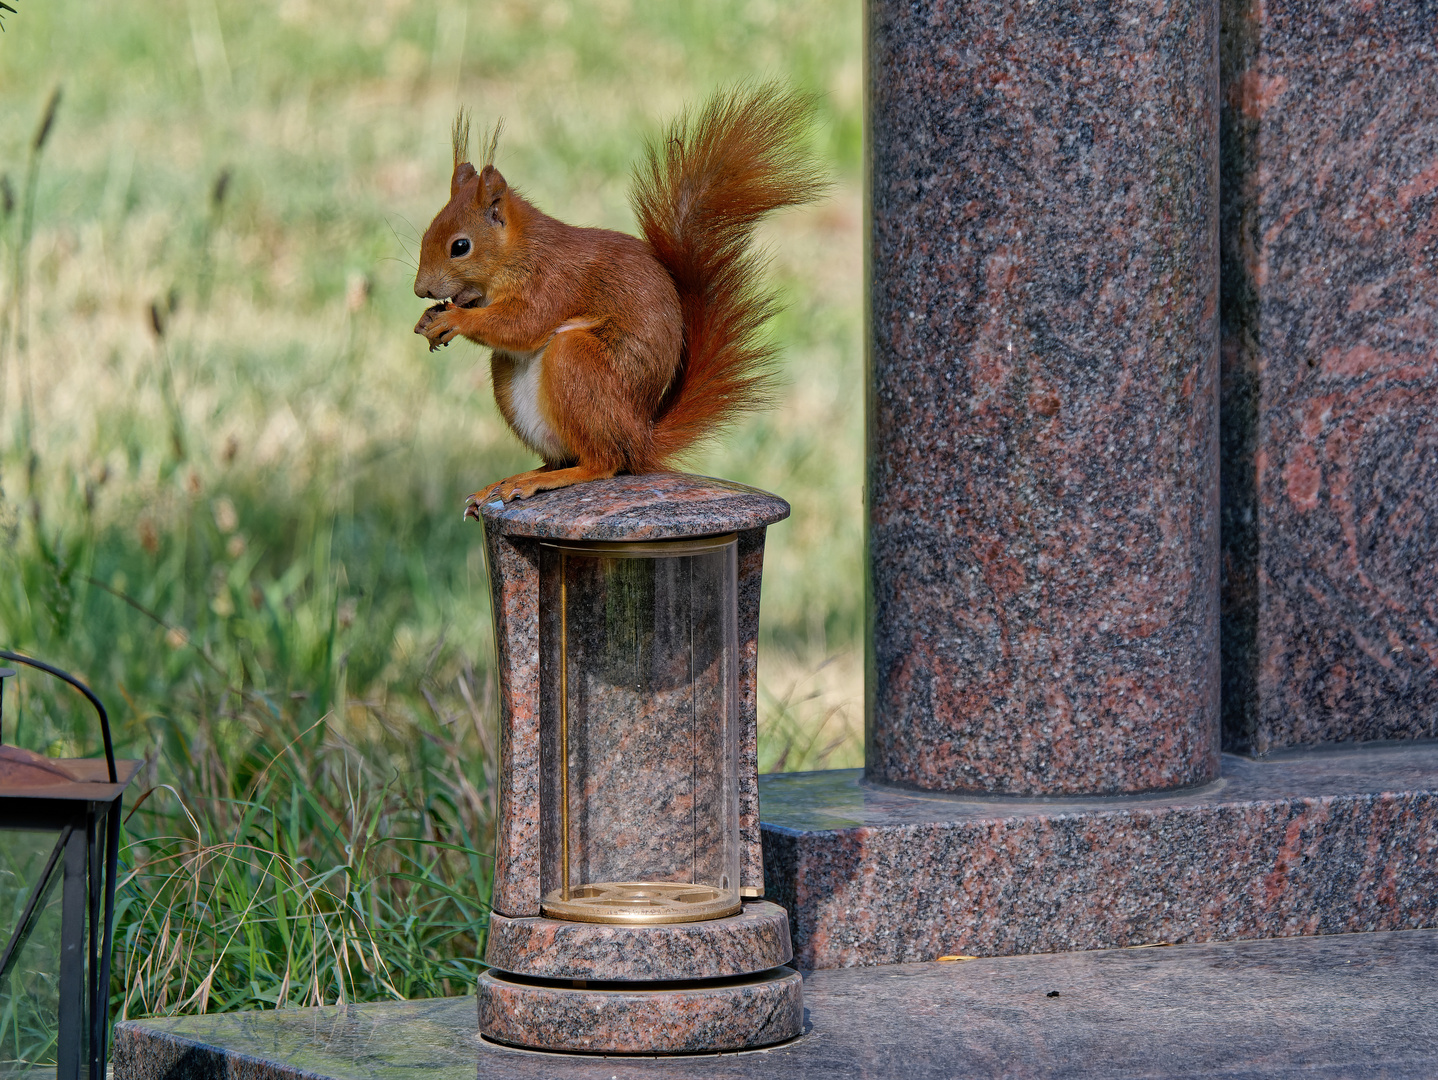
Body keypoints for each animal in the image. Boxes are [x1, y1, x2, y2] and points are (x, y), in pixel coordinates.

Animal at [411, 84, 828, 514]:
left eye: (460, 246)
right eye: (427, 232)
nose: (420, 289)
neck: (519, 251)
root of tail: (640, 440)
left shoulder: (552, 281)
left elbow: (525, 324)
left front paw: (453, 320)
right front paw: (428, 319)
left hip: (577, 362)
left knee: (602, 462)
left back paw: (545, 479)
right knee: (568, 455)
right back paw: (514, 479)